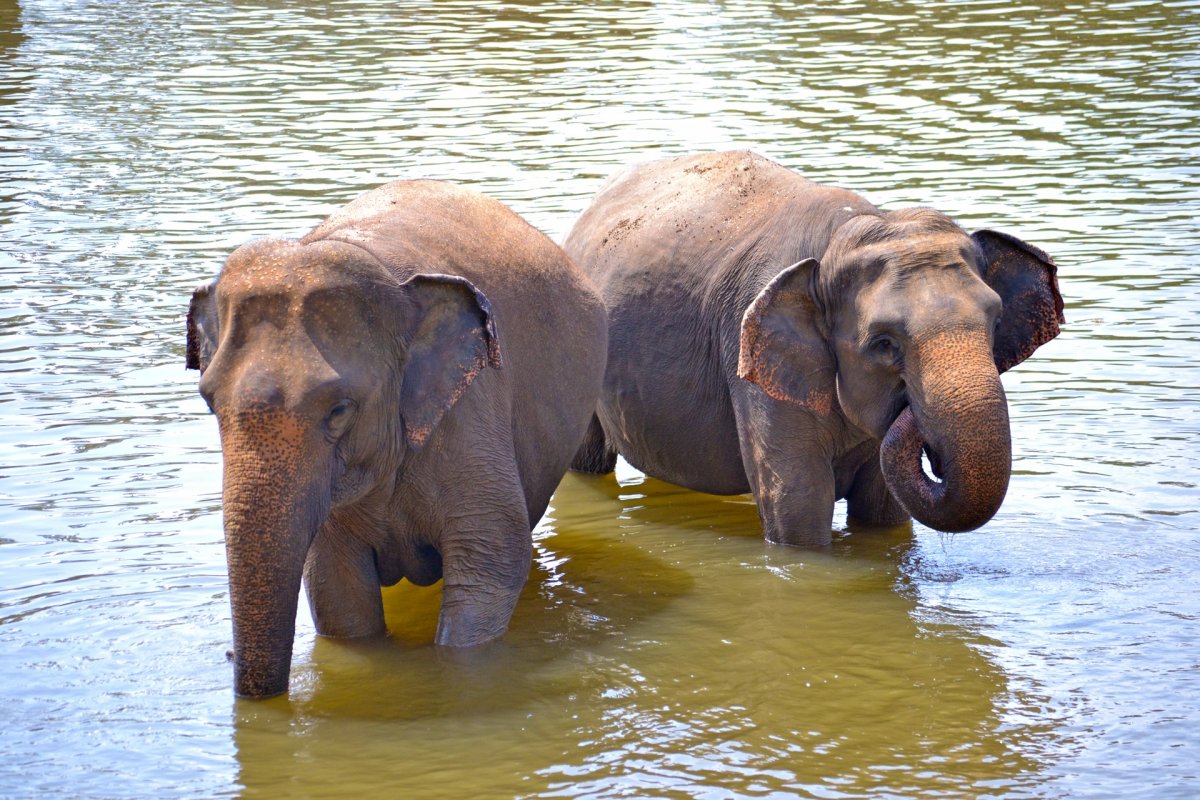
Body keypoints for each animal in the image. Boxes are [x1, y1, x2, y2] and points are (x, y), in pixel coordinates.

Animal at [187, 178, 609, 695]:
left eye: (339, 410)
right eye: (209, 401)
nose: (228, 657)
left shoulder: (471, 411)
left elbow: (493, 557)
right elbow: (334, 584)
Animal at [566, 149, 1065, 546]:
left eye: (995, 322)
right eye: (883, 343)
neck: (845, 234)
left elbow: (882, 510)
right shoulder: (751, 356)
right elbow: (798, 503)